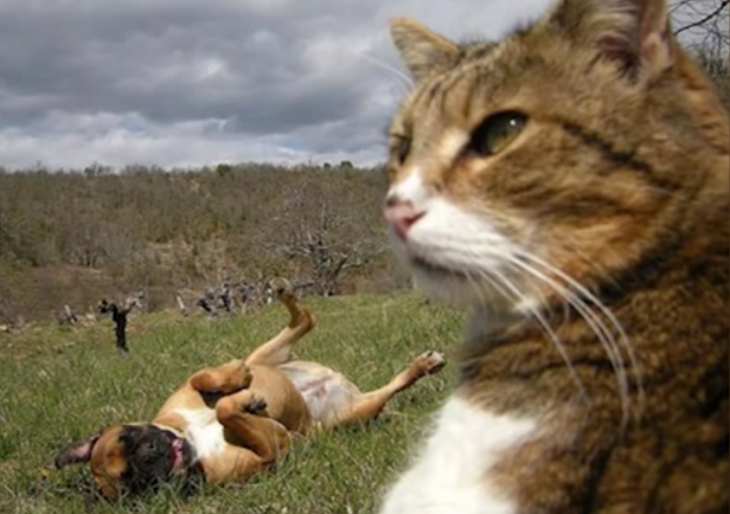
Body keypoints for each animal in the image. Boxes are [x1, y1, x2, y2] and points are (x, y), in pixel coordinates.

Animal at [54, 278, 444, 498]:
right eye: (131, 479)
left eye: (128, 435)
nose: (151, 453)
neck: (192, 439)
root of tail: (341, 385)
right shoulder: (271, 450)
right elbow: (230, 412)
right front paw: (249, 404)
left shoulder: (185, 392)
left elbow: (204, 379)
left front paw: (238, 382)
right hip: (352, 414)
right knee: (385, 387)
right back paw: (421, 367)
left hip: (268, 354)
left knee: (303, 321)